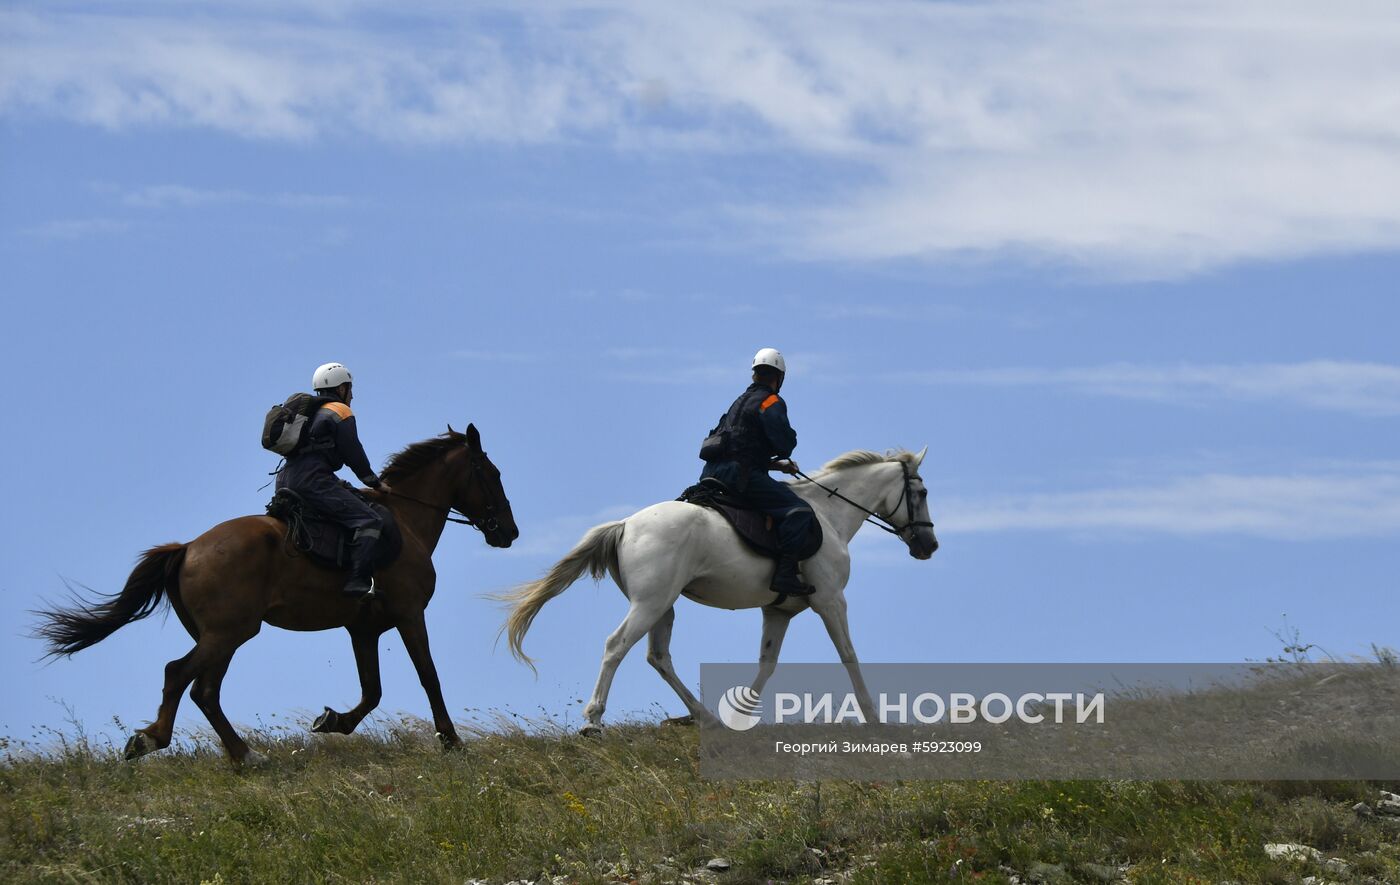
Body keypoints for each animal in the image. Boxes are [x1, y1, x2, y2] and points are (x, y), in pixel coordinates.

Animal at [38, 425, 520, 761]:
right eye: (493, 474)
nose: (510, 532)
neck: (404, 519)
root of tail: (189, 547)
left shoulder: (363, 630)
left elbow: (372, 691)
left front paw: (333, 721)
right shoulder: (408, 613)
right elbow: (428, 676)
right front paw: (452, 741)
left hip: (224, 635)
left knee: (204, 691)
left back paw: (244, 756)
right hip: (229, 632)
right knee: (179, 675)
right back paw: (153, 740)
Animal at [504, 448, 940, 733]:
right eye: (921, 494)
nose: (929, 546)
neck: (829, 516)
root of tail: (626, 524)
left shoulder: (778, 611)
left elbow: (767, 664)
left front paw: (738, 716)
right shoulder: (831, 601)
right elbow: (849, 655)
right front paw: (873, 717)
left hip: (663, 605)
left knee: (658, 657)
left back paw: (705, 716)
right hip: (651, 603)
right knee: (616, 646)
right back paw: (594, 720)